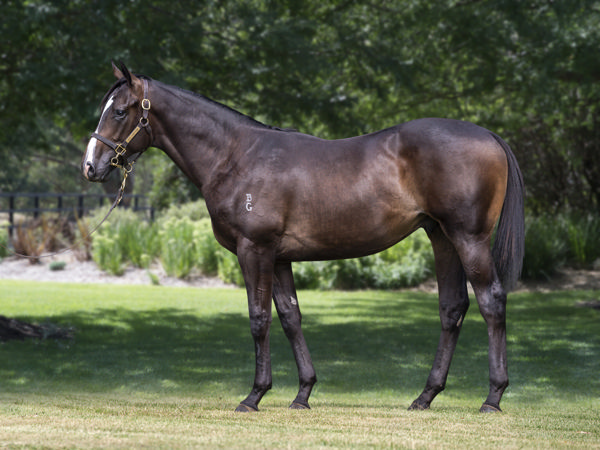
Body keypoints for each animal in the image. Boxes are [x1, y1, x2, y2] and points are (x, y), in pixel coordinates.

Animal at [82, 61, 524, 414]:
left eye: (119, 110)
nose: (90, 166)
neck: (236, 155)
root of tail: (489, 136)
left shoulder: (254, 250)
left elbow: (258, 318)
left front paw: (254, 396)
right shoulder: (279, 257)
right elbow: (290, 317)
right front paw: (302, 394)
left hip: (468, 238)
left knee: (491, 302)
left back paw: (493, 397)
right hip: (441, 236)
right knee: (452, 308)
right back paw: (425, 396)